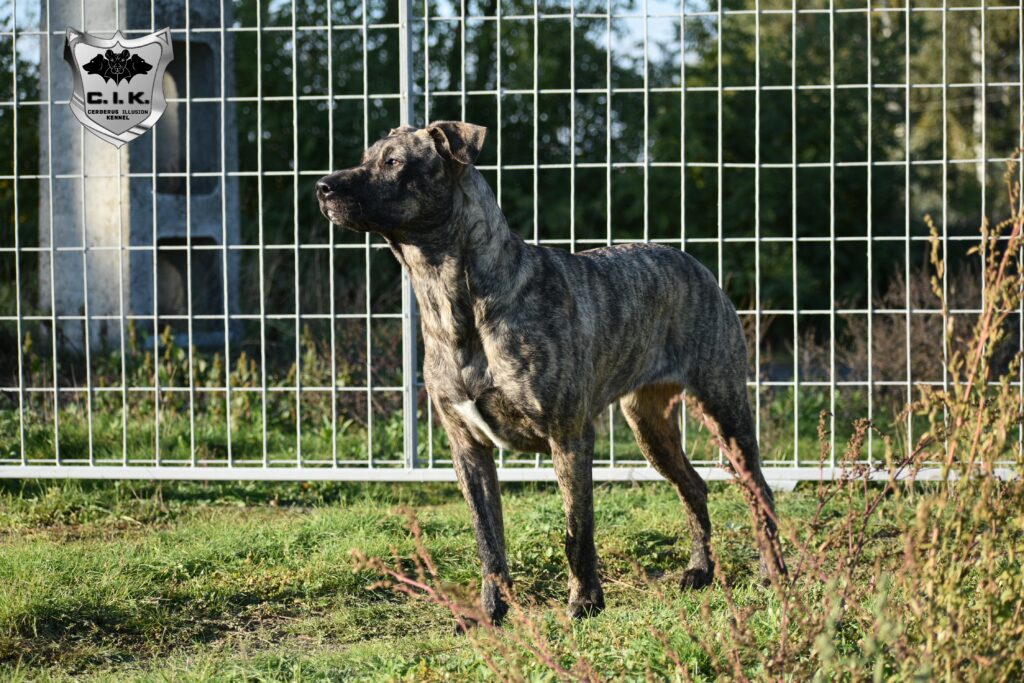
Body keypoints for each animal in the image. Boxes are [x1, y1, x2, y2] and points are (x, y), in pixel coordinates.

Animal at [315, 121, 778, 626]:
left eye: (394, 162)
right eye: (367, 157)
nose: (322, 187)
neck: (455, 301)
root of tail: (697, 265)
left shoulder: (569, 436)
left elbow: (577, 530)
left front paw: (585, 602)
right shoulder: (467, 447)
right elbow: (488, 540)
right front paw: (491, 611)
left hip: (723, 407)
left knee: (760, 491)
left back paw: (773, 573)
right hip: (650, 425)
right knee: (693, 487)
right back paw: (700, 571)